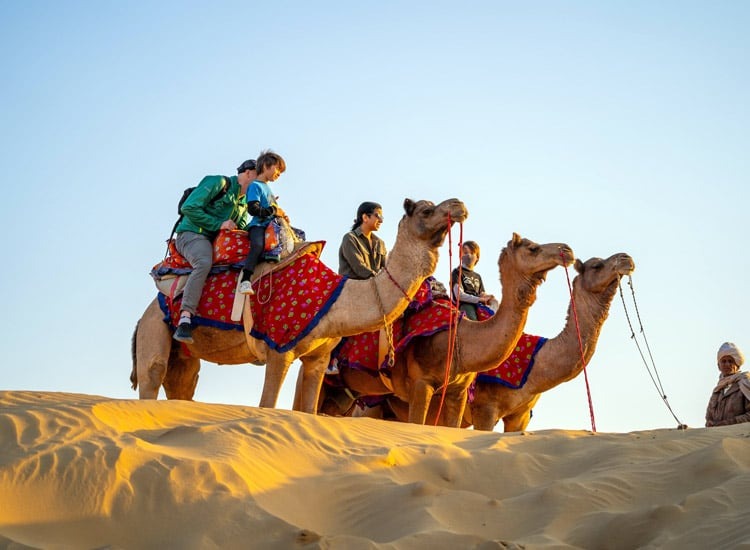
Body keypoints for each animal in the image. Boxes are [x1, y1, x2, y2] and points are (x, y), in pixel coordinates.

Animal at [130, 198, 468, 413]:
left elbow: (308, 411)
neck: (335, 299)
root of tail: (143, 315)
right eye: (426, 210)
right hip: (155, 328)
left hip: (183, 356)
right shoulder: (279, 348)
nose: (459, 205)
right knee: (152, 375)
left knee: (182, 386)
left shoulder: (319, 358)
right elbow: (267, 405)